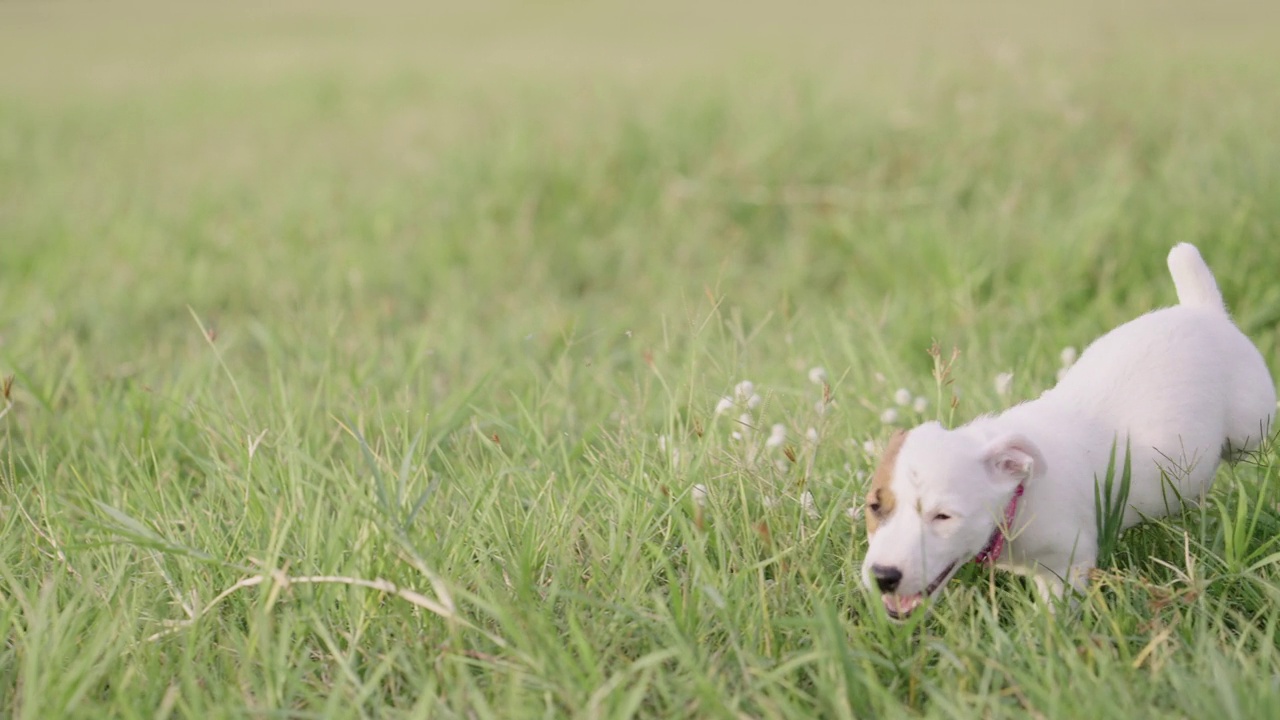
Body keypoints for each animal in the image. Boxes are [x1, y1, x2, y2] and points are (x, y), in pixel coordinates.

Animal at [860, 242, 1269, 617]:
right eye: (875, 507)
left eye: (943, 517)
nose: (883, 576)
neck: (1018, 497)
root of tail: (1203, 311)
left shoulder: (1068, 563)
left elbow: (1058, 615)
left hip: (1250, 425)